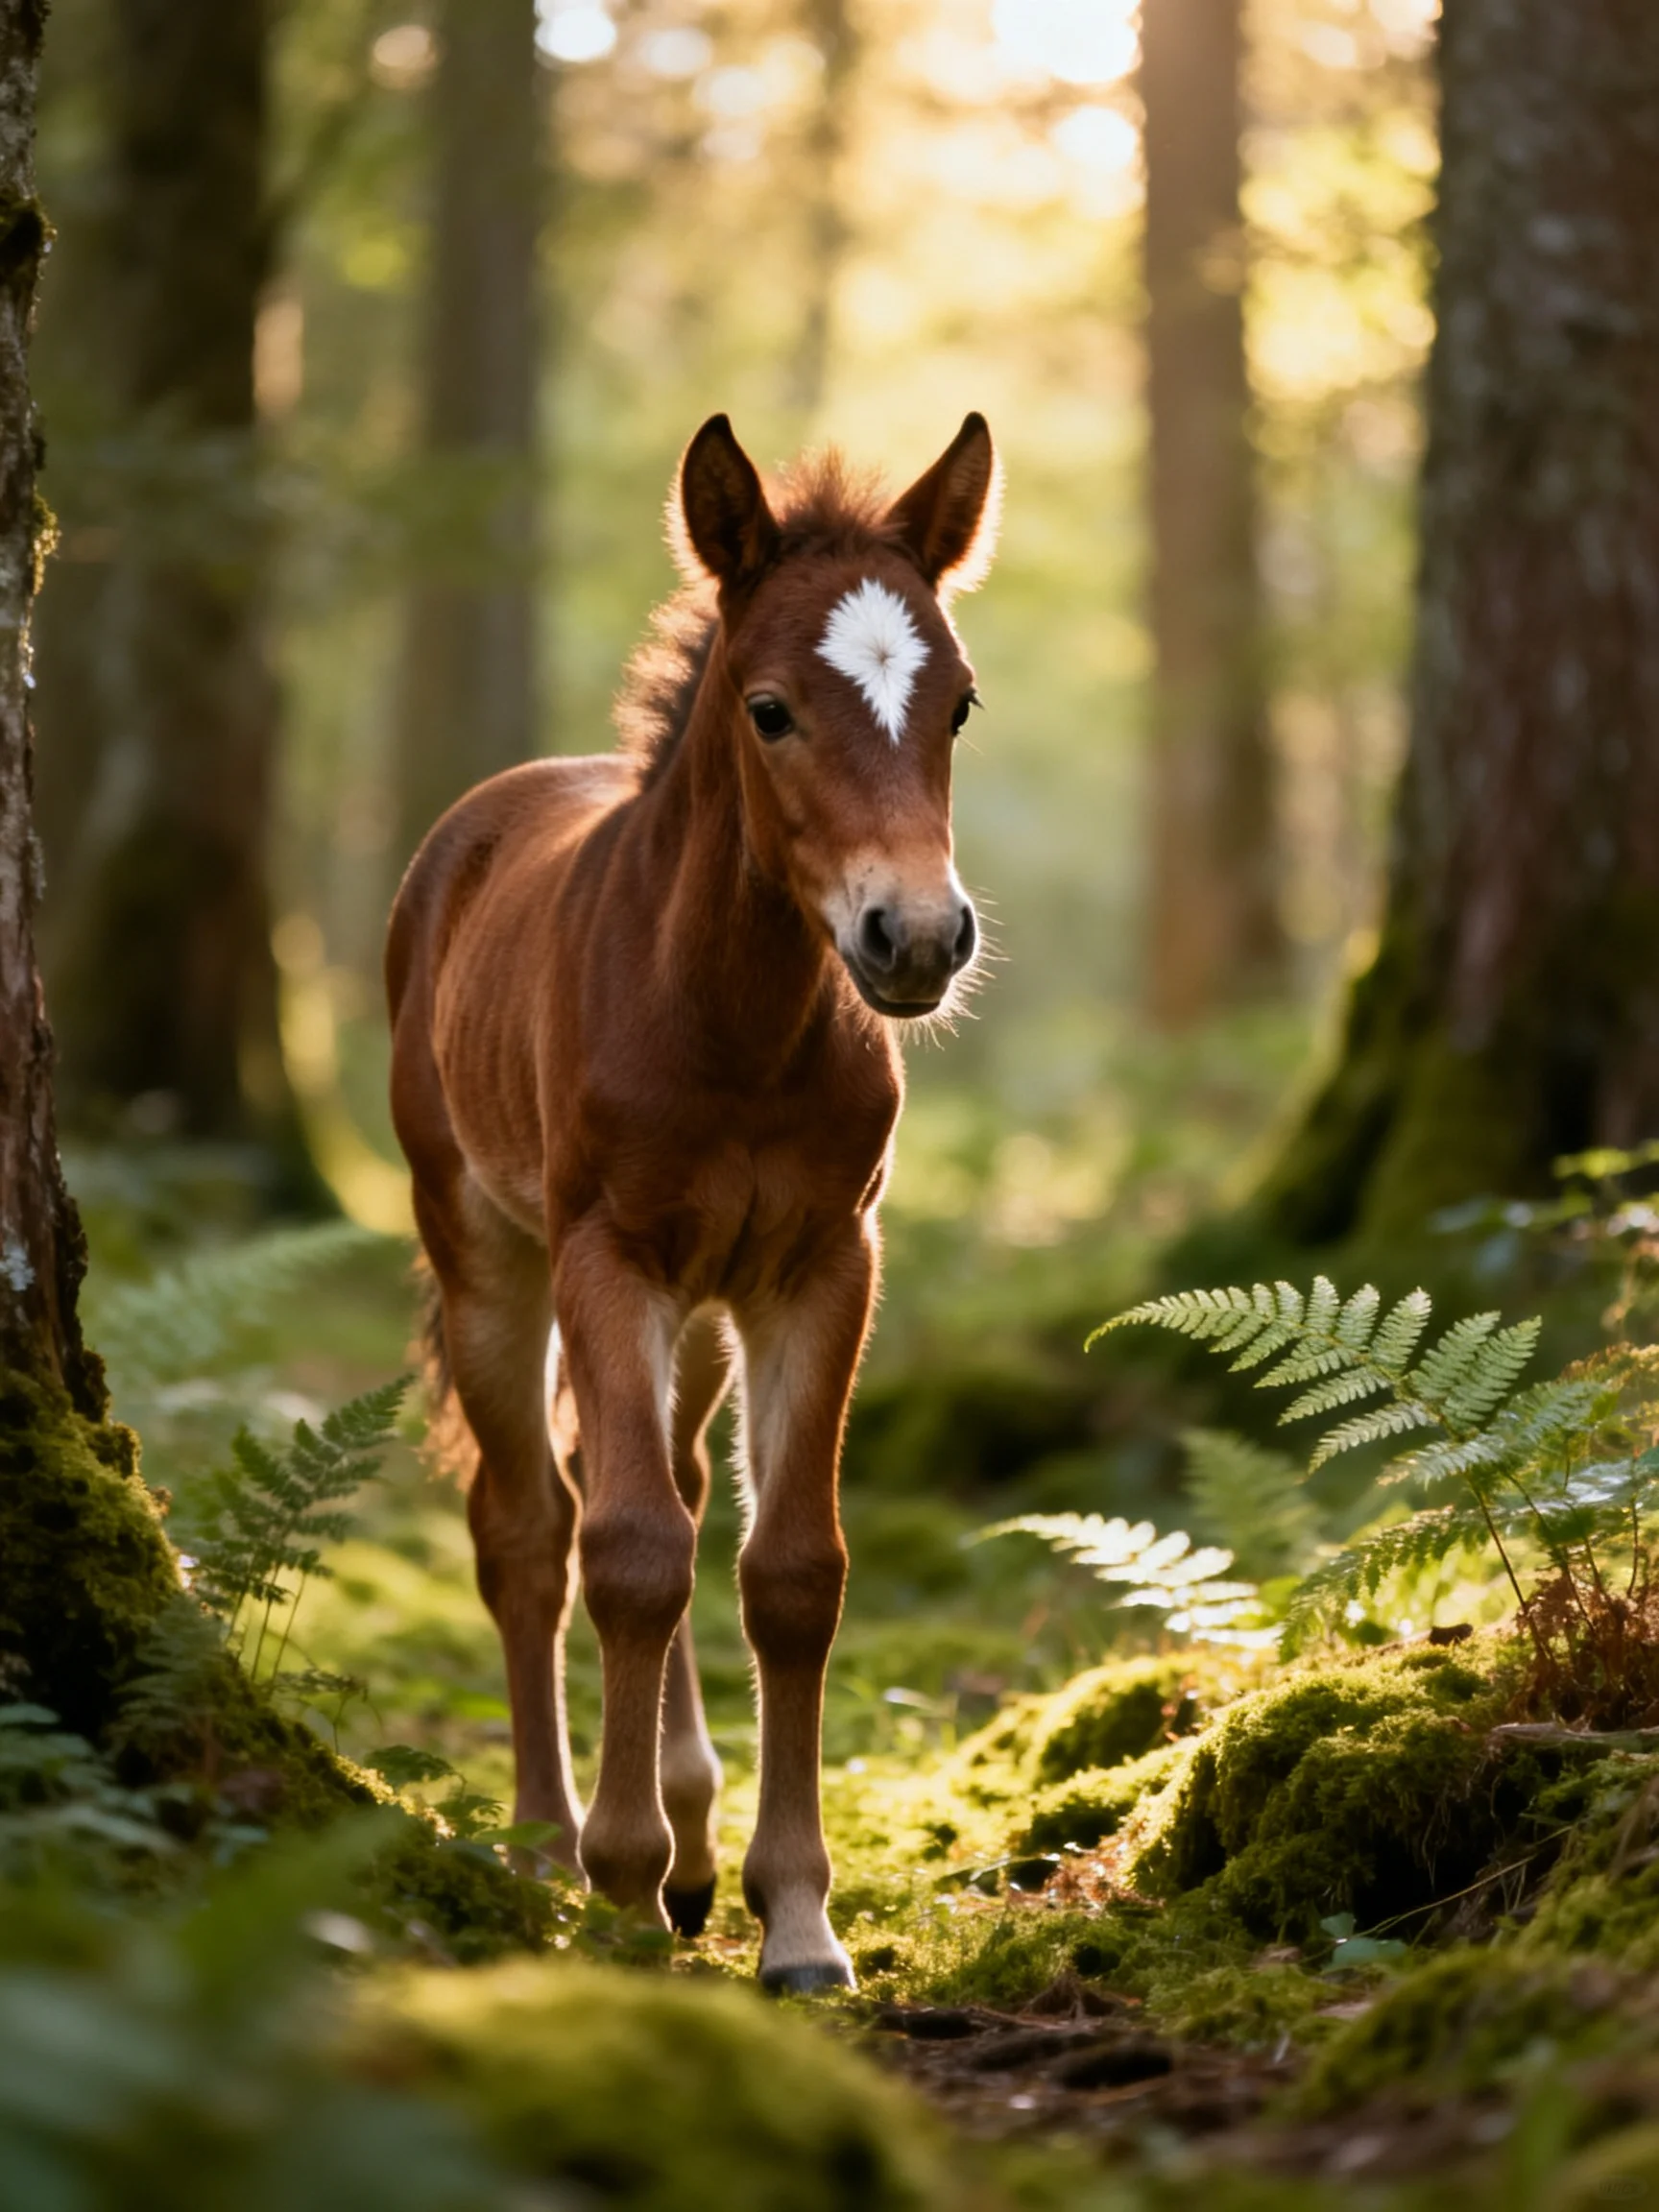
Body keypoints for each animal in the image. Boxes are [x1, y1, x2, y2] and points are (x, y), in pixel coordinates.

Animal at [386, 411, 999, 1990]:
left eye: (958, 707)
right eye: (772, 710)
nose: (916, 938)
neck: (732, 1024)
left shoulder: (822, 1264)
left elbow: (788, 1570)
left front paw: (796, 1916)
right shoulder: (609, 1257)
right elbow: (629, 1554)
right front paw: (613, 1880)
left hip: (708, 1312)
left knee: (659, 1471)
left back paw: (688, 1835)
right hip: (486, 1252)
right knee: (530, 1526)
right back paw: (551, 1845)